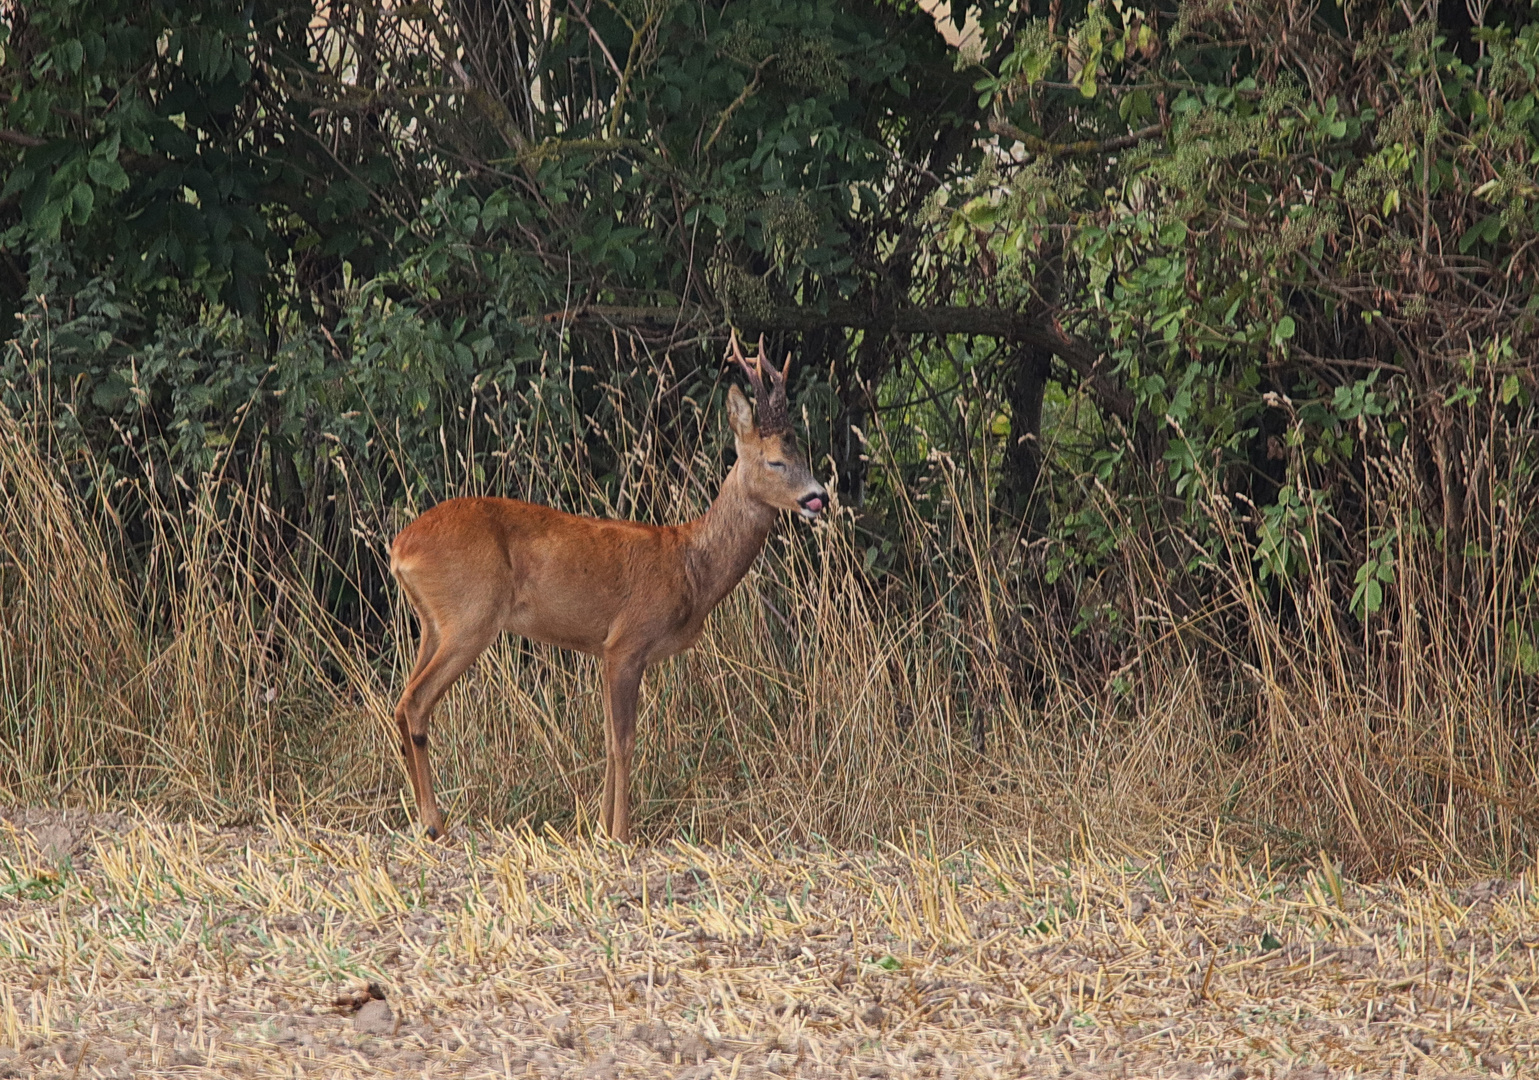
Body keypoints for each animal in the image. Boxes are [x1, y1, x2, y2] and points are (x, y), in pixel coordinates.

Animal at [393, 333, 831, 843]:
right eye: (775, 460)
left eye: (803, 453)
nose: (818, 497)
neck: (692, 566)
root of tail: (399, 548)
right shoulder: (627, 642)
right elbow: (624, 741)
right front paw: (621, 833)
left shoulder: (602, 649)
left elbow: (605, 739)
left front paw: (599, 828)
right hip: (470, 616)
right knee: (415, 702)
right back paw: (433, 822)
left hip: (432, 623)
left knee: (402, 702)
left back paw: (424, 817)